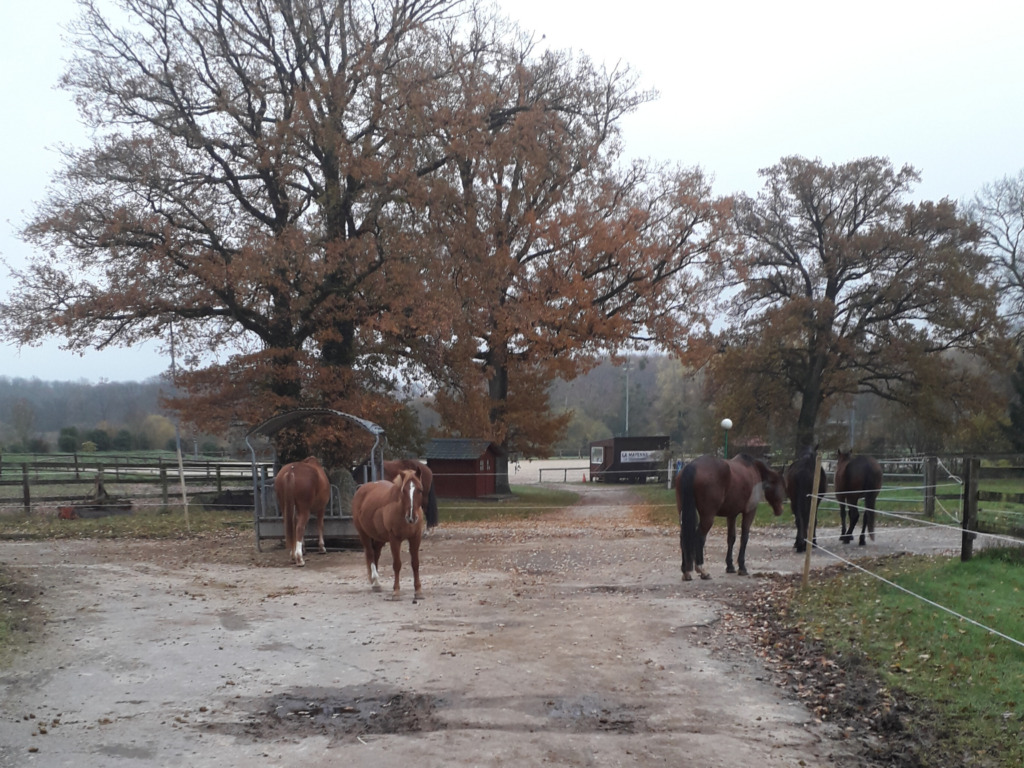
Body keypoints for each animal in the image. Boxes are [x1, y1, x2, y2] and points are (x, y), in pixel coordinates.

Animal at [352, 468, 423, 602]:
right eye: (403, 490)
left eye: (420, 490)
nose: (411, 517)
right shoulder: (394, 539)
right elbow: (397, 564)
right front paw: (396, 592)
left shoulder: (415, 538)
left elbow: (415, 563)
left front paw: (418, 591)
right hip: (363, 534)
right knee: (370, 554)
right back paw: (376, 582)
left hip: (379, 538)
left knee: (376, 554)